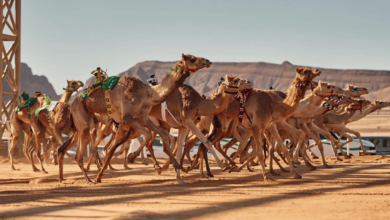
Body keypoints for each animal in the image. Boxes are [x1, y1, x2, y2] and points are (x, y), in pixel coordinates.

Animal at [57, 53, 210, 184]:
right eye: (192, 58)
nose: (207, 61)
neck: (146, 94)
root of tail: (73, 102)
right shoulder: (127, 117)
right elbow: (147, 135)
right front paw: (134, 158)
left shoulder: (142, 117)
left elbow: (163, 135)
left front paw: (177, 165)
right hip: (82, 115)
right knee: (83, 147)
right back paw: (89, 179)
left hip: (87, 117)